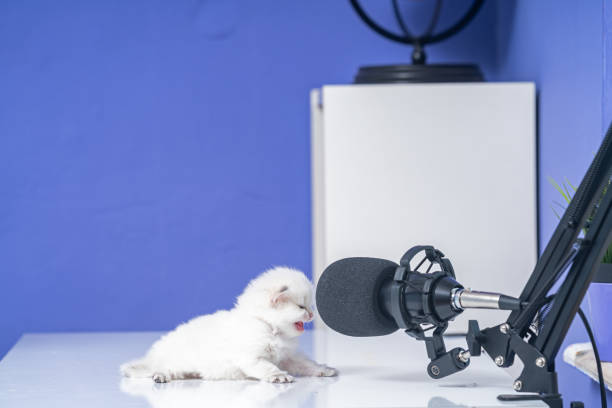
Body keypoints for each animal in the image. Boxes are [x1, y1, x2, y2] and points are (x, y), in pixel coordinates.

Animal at [120, 268, 334, 382]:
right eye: (301, 307)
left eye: (309, 306)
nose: (311, 314)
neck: (267, 326)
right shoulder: (252, 358)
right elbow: (268, 368)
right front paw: (279, 376)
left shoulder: (288, 357)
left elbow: (307, 364)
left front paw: (324, 370)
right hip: (175, 361)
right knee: (161, 368)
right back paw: (160, 376)